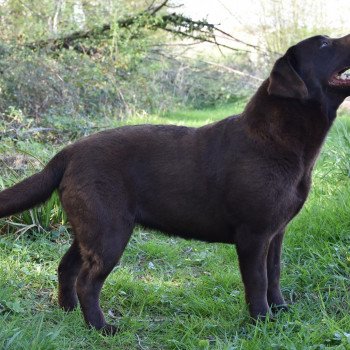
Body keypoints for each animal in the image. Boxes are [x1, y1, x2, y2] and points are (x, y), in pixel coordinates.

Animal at [0, 34, 350, 334]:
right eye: (323, 44)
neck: (277, 141)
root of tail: (68, 151)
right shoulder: (253, 235)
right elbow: (258, 281)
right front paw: (261, 321)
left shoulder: (276, 232)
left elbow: (275, 273)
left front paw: (279, 310)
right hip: (109, 232)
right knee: (87, 281)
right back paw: (101, 327)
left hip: (89, 229)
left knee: (67, 267)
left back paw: (69, 312)